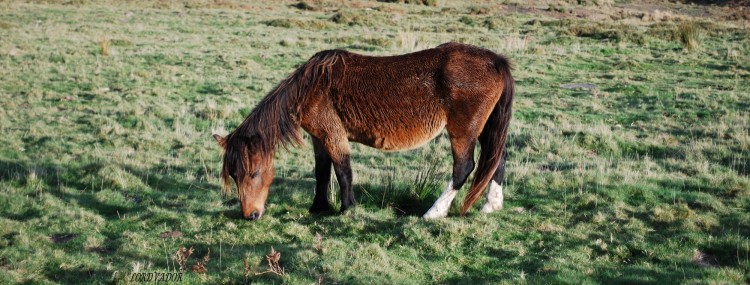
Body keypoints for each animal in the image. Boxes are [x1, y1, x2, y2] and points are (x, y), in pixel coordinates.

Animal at [214, 42, 516, 220]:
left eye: (253, 173)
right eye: (234, 175)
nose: (250, 215)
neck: (312, 86)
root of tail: (496, 60)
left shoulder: (332, 134)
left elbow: (343, 171)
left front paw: (347, 208)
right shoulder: (319, 138)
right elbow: (322, 173)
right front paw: (318, 207)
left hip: (463, 131)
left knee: (464, 168)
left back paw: (434, 212)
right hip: (486, 129)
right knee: (496, 160)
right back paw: (491, 205)